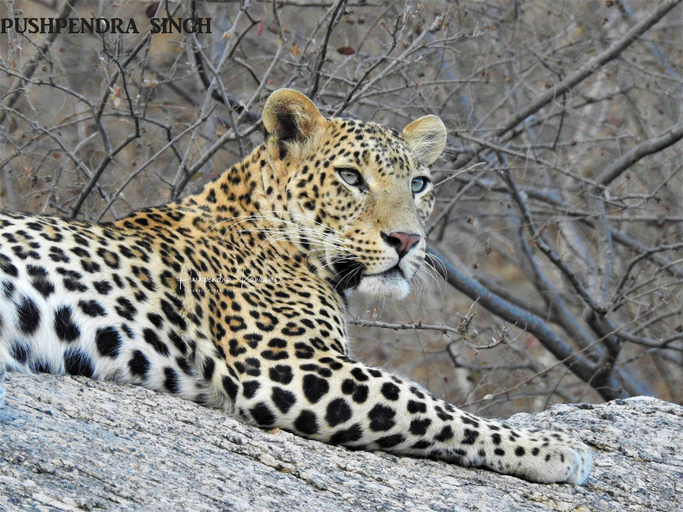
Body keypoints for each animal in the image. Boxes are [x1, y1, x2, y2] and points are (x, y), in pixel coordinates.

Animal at [0, 89, 592, 485]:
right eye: (351, 178)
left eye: (419, 183)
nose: (407, 239)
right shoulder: (289, 367)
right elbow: (432, 406)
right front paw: (552, 448)